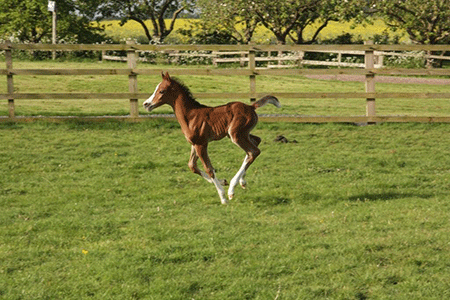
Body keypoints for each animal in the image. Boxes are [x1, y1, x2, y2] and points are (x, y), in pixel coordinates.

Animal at [143, 72, 282, 204]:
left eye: (161, 91)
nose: (146, 104)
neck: (190, 116)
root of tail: (251, 107)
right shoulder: (194, 144)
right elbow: (192, 166)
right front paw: (223, 181)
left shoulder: (201, 144)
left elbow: (209, 169)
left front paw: (223, 197)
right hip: (240, 133)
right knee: (256, 142)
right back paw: (242, 182)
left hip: (236, 135)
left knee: (253, 151)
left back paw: (232, 189)